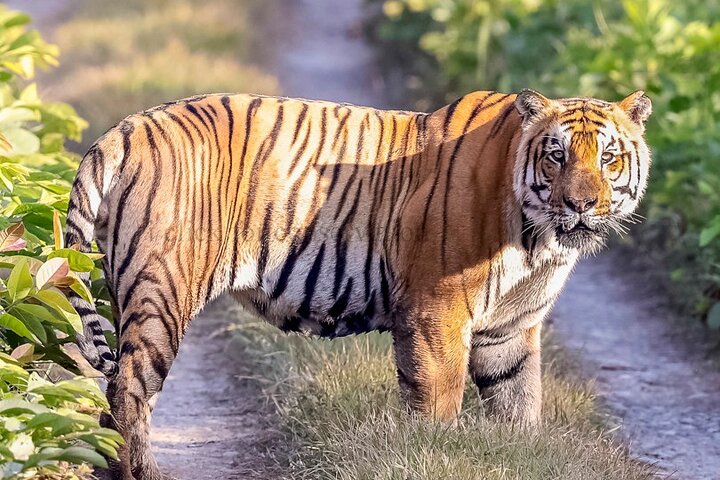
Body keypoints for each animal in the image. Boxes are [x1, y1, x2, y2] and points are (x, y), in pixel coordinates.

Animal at [64, 89, 651, 479]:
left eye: (608, 157)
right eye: (557, 156)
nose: (581, 205)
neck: (538, 243)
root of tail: (124, 129)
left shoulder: (509, 330)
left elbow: (520, 407)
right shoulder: (438, 312)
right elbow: (439, 403)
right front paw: (436, 453)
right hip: (163, 287)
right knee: (128, 388)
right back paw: (141, 474)